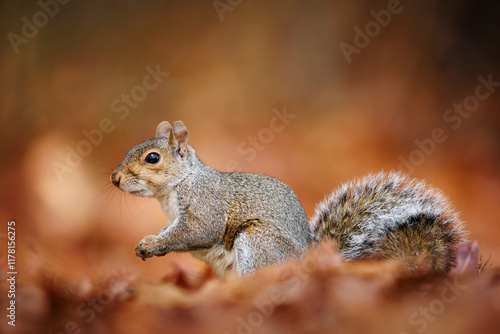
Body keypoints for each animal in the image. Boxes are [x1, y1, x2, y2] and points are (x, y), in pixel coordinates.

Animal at [111, 120, 466, 276]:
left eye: (153, 158)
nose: (114, 178)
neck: (180, 184)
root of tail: (311, 260)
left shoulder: (205, 206)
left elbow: (195, 231)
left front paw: (153, 244)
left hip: (258, 241)